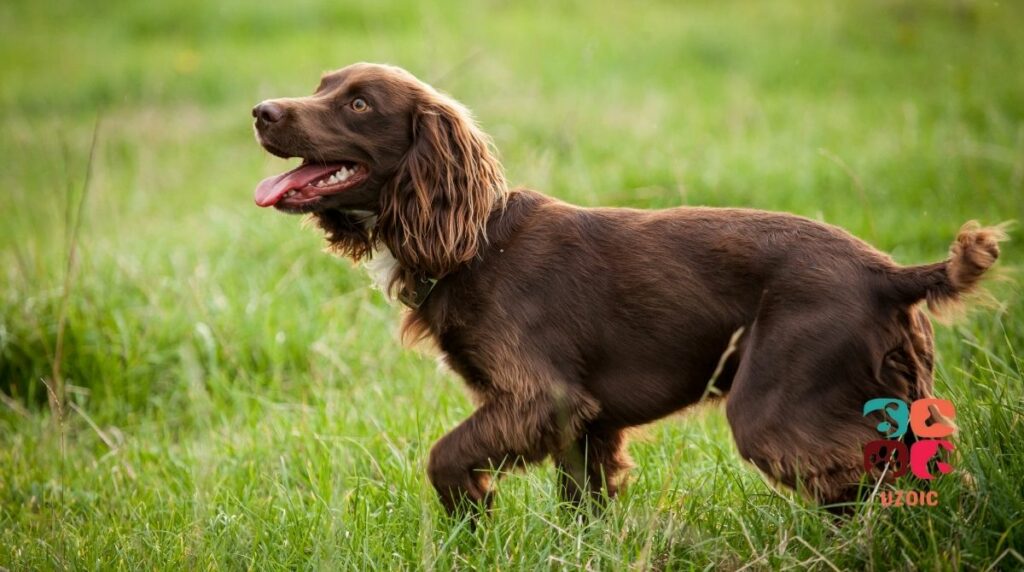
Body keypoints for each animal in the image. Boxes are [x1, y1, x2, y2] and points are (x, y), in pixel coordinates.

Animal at [251, 61, 1003, 515]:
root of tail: (889, 274)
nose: (260, 111)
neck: (475, 242)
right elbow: (581, 505)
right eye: (322, 84)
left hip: (776, 408)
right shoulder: (584, 423)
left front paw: (474, 514)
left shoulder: (540, 398)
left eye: (357, 103)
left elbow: (444, 456)